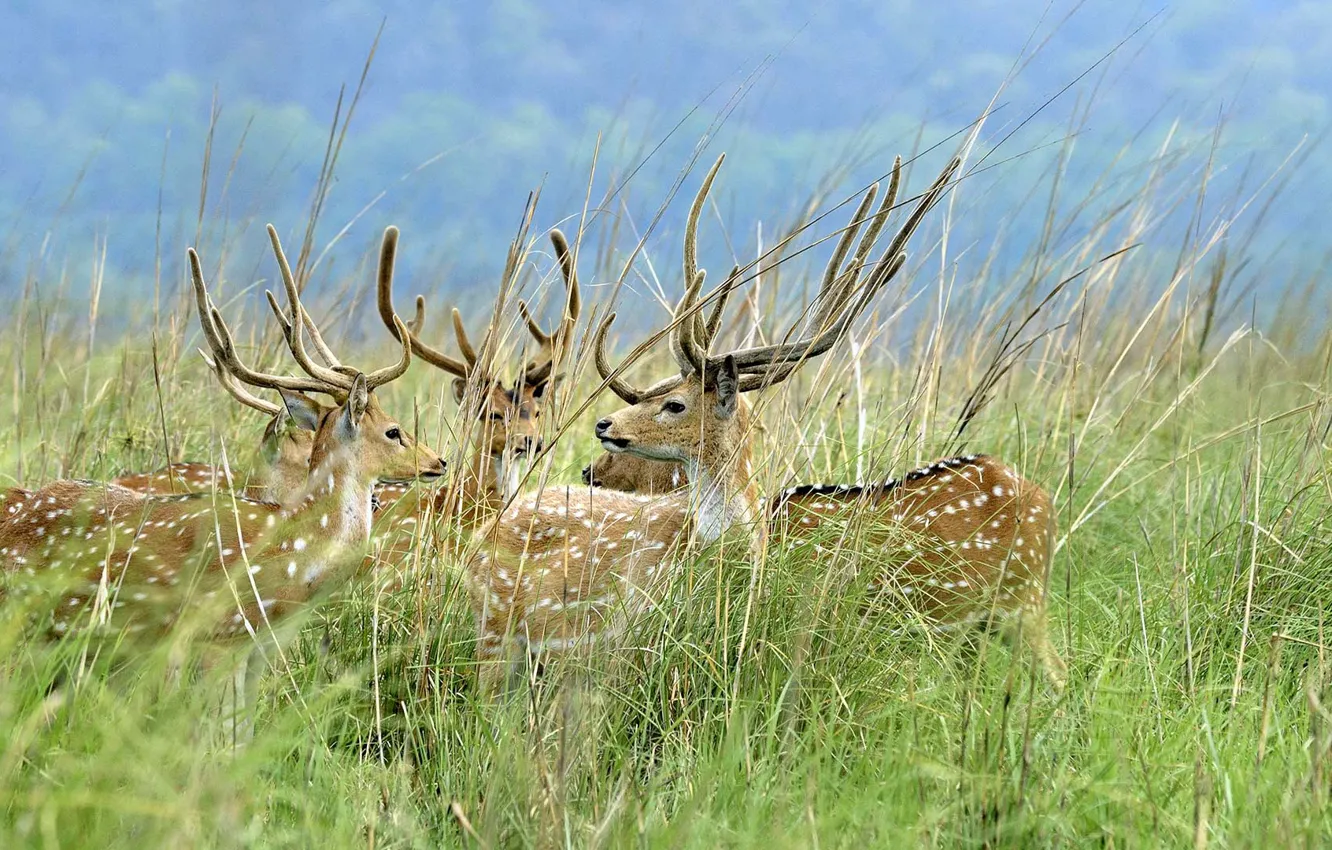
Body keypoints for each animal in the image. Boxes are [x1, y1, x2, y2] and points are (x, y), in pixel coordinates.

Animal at [0, 231, 447, 733]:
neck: (294, 559)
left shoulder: (260, 649)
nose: (439, 461)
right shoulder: (220, 636)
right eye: (393, 431)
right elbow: (220, 733)